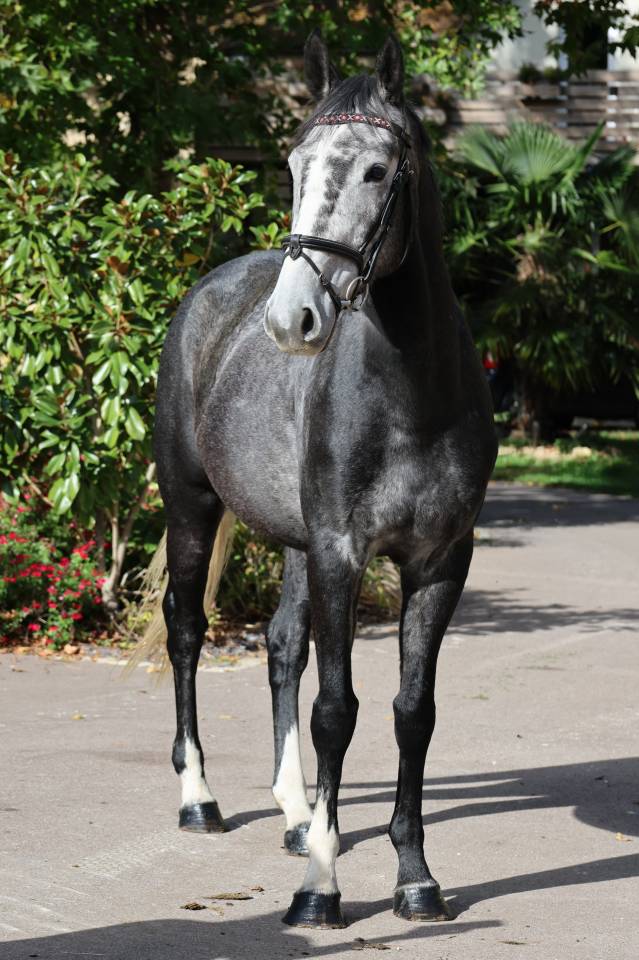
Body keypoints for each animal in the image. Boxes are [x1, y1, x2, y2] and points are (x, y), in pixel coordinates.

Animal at [148, 30, 497, 929]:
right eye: (294, 165)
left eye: (377, 170)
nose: (292, 318)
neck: (411, 391)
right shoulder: (342, 551)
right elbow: (336, 710)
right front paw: (321, 888)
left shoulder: (437, 561)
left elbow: (412, 713)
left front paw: (414, 878)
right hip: (193, 508)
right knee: (187, 631)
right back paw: (200, 800)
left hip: (295, 542)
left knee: (279, 646)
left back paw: (298, 812)